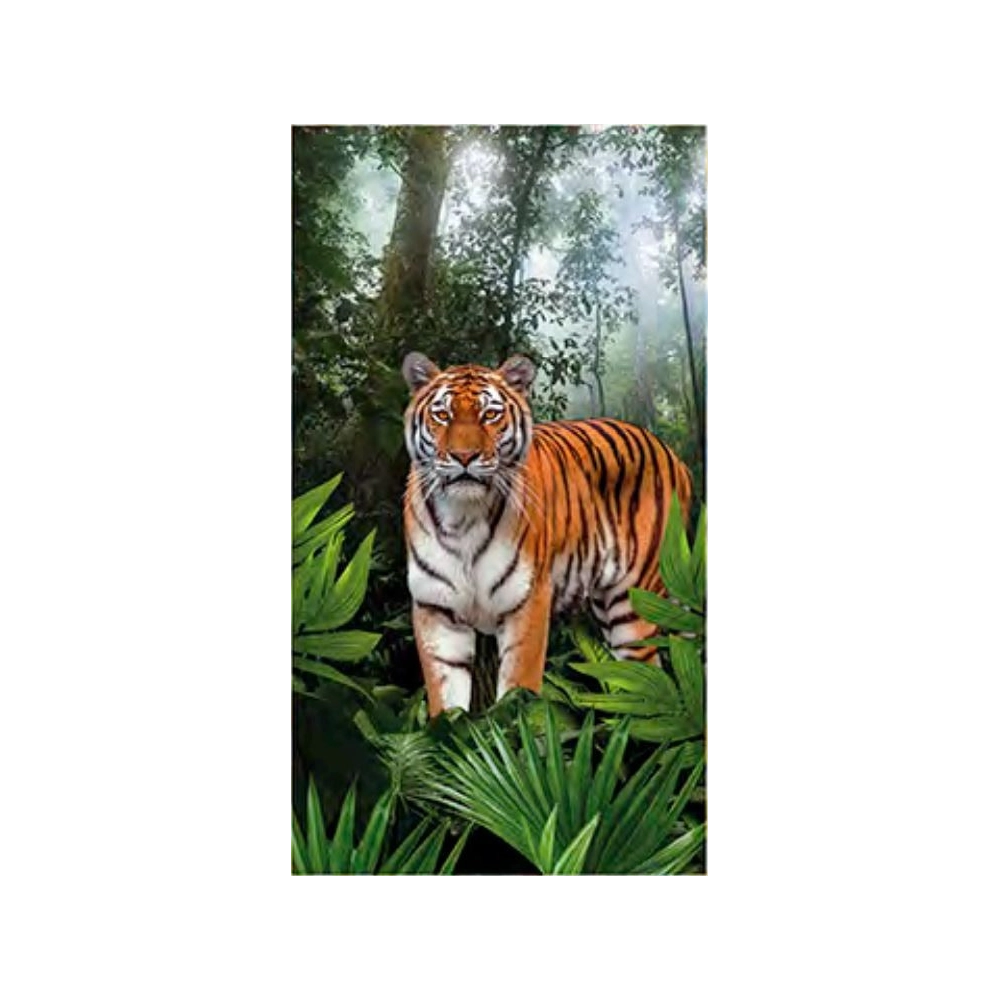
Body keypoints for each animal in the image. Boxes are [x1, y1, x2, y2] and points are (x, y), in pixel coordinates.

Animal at [401, 351, 693, 716]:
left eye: (490, 414)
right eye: (442, 415)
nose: (464, 457)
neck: (463, 517)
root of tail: (671, 453)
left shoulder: (527, 601)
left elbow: (519, 693)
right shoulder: (435, 610)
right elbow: (446, 705)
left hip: (635, 603)